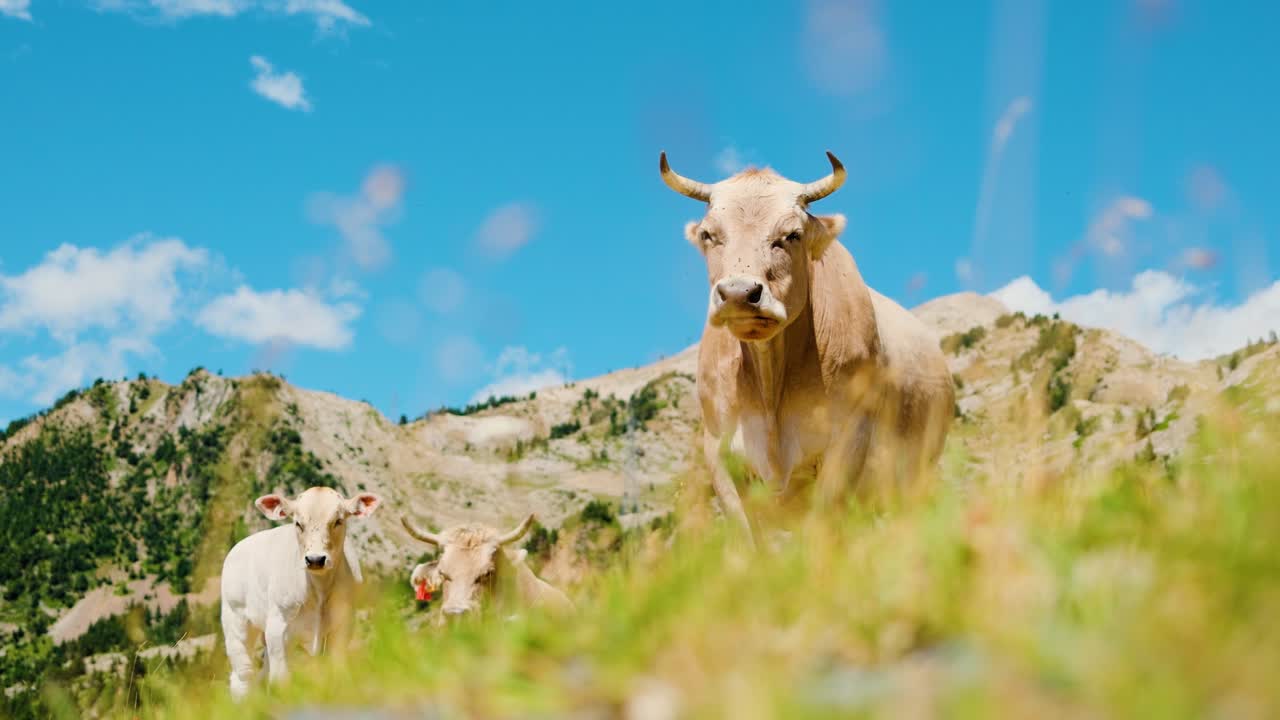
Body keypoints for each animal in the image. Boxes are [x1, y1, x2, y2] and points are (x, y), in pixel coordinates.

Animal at [220, 486, 382, 700]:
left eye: (338, 521)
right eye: (298, 523)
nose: (315, 559)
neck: (319, 589)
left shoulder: (343, 623)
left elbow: (338, 671)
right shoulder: (278, 627)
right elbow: (281, 681)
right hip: (236, 620)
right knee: (242, 676)